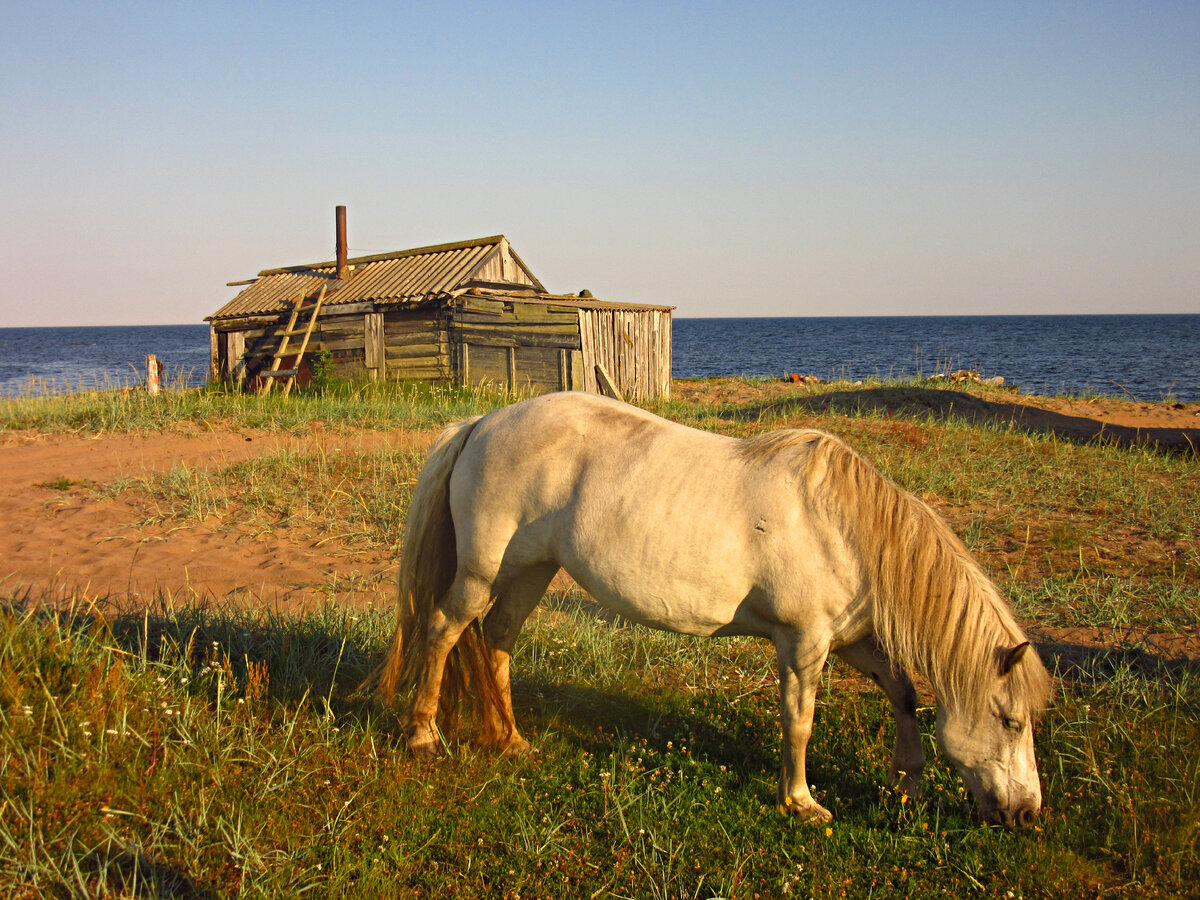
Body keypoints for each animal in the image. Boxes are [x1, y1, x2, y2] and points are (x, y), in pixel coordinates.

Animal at [376, 391, 1051, 830]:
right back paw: (423, 737)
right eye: (1010, 721)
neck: (843, 528)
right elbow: (799, 721)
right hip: (483, 570)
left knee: (497, 638)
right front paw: (801, 802)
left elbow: (904, 692)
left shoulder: (853, 639)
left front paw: (906, 780)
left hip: (532, 570)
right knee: (443, 631)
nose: (1025, 814)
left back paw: (510, 740)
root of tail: (482, 422)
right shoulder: (804, 644)